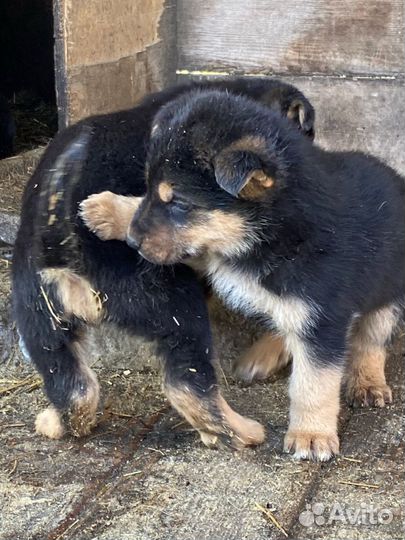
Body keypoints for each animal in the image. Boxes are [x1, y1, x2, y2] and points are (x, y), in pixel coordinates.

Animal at [11, 77, 314, 448]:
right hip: (170, 302)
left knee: (70, 384)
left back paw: (56, 422)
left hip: (36, 309)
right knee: (187, 381)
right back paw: (241, 432)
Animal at [83, 90, 404, 462]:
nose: (134, 242)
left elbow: (313, 382)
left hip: (389, 293)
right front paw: (110, 210)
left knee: (372, 339)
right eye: (148, 187)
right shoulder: (211, 252)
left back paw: (367, 383)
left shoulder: (321, 319)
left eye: (179, 202)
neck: (271, 229)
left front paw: (311, 435)